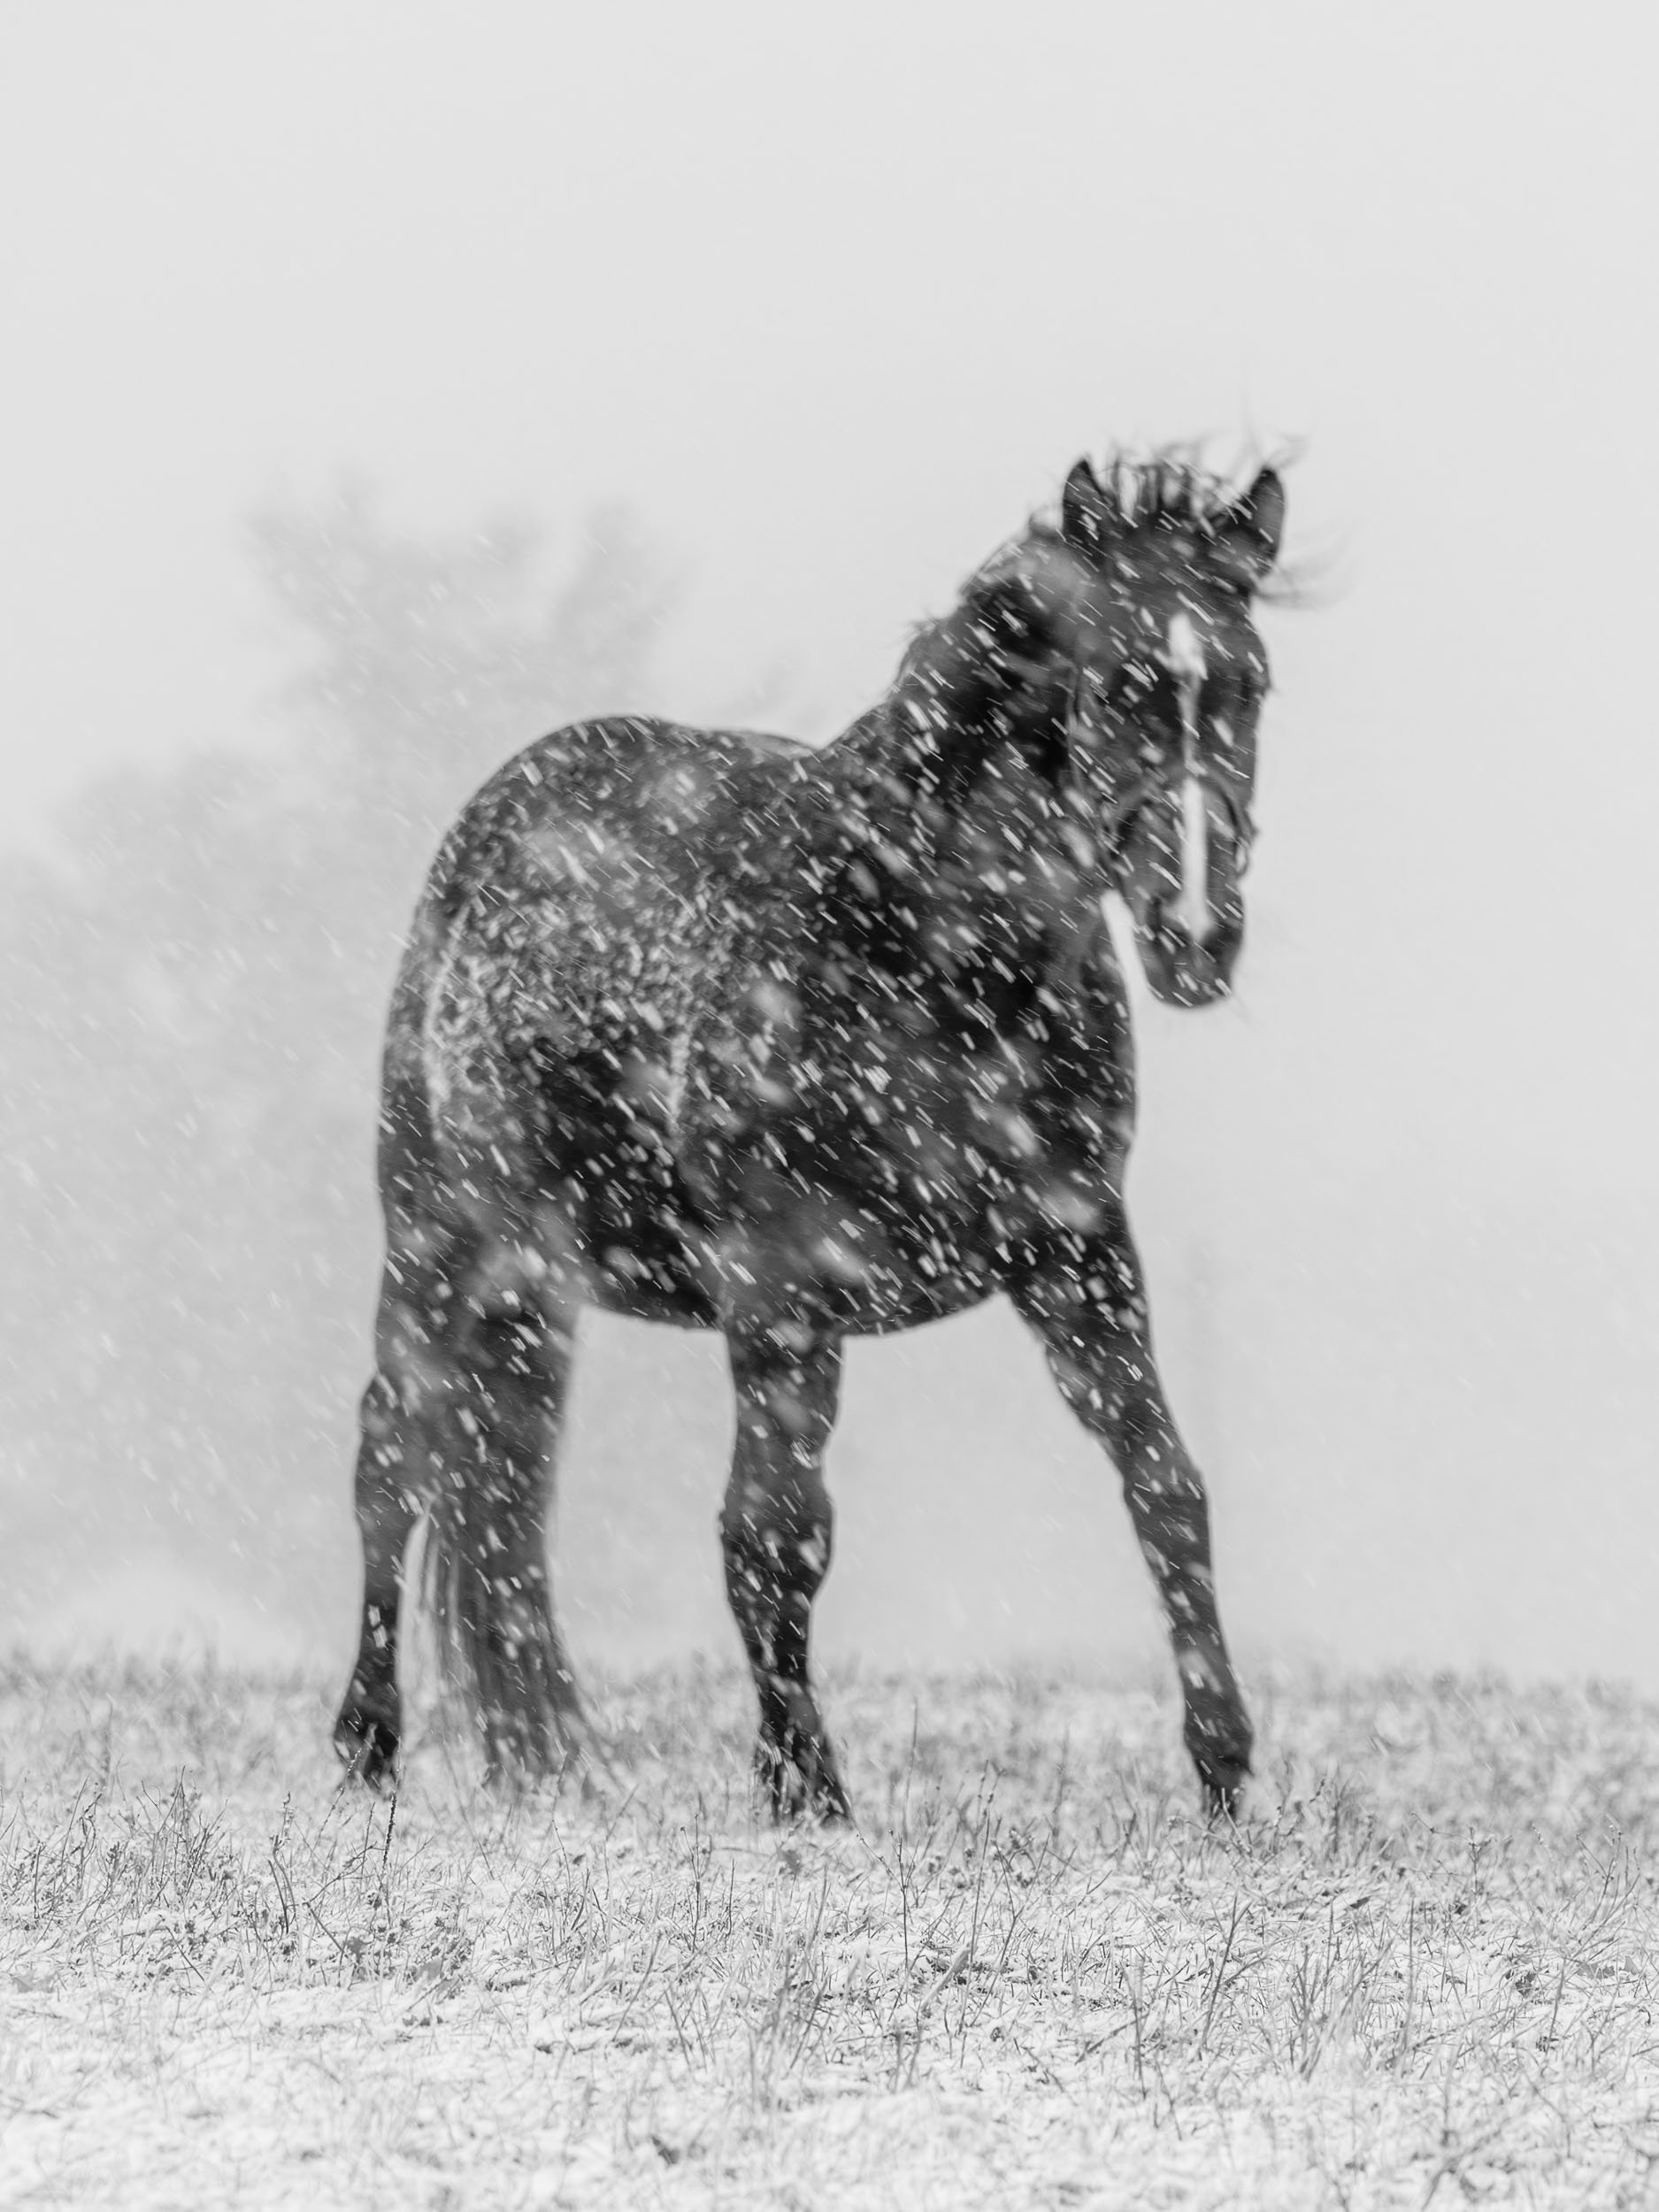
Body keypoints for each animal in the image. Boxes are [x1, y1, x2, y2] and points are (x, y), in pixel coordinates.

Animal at [333, 451, 1286, 1821]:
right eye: (1121, 685)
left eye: (1249, 683)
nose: (1197, 933)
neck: (919, 946)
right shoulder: (781, 1288)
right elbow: (773, 1535)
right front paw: (804, 1789)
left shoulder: (1078, 1257)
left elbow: (1164, 1483)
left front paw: (1221, 1769)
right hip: (432, 1239)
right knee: (390, 1463)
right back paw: (366, 1744)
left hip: (535, 1284)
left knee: (497, 1490)